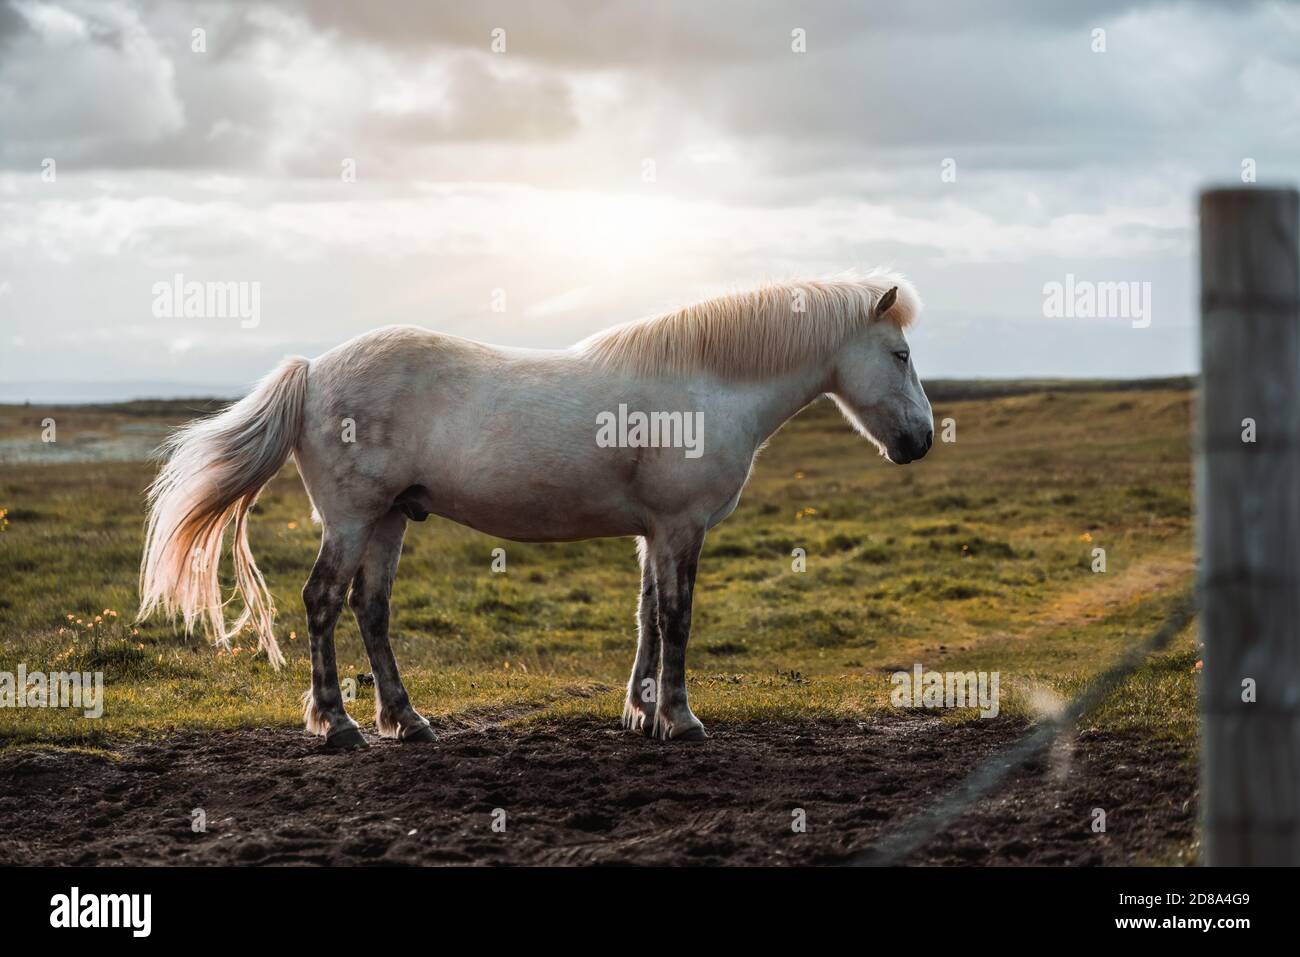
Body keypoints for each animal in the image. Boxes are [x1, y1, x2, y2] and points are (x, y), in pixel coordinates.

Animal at [137, 269, 930, 748]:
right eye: (898, 354)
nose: (920, 440)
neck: (705, 383)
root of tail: (313, 370)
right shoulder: (680, 528)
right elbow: (677, 617)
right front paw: (679, 717)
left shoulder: (654, 533)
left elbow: (647, 614)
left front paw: (640, 710)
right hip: (353, 518)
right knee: (323, 601)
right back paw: (336, 723)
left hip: (389, 519)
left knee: (371, 608)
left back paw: (406, 718)